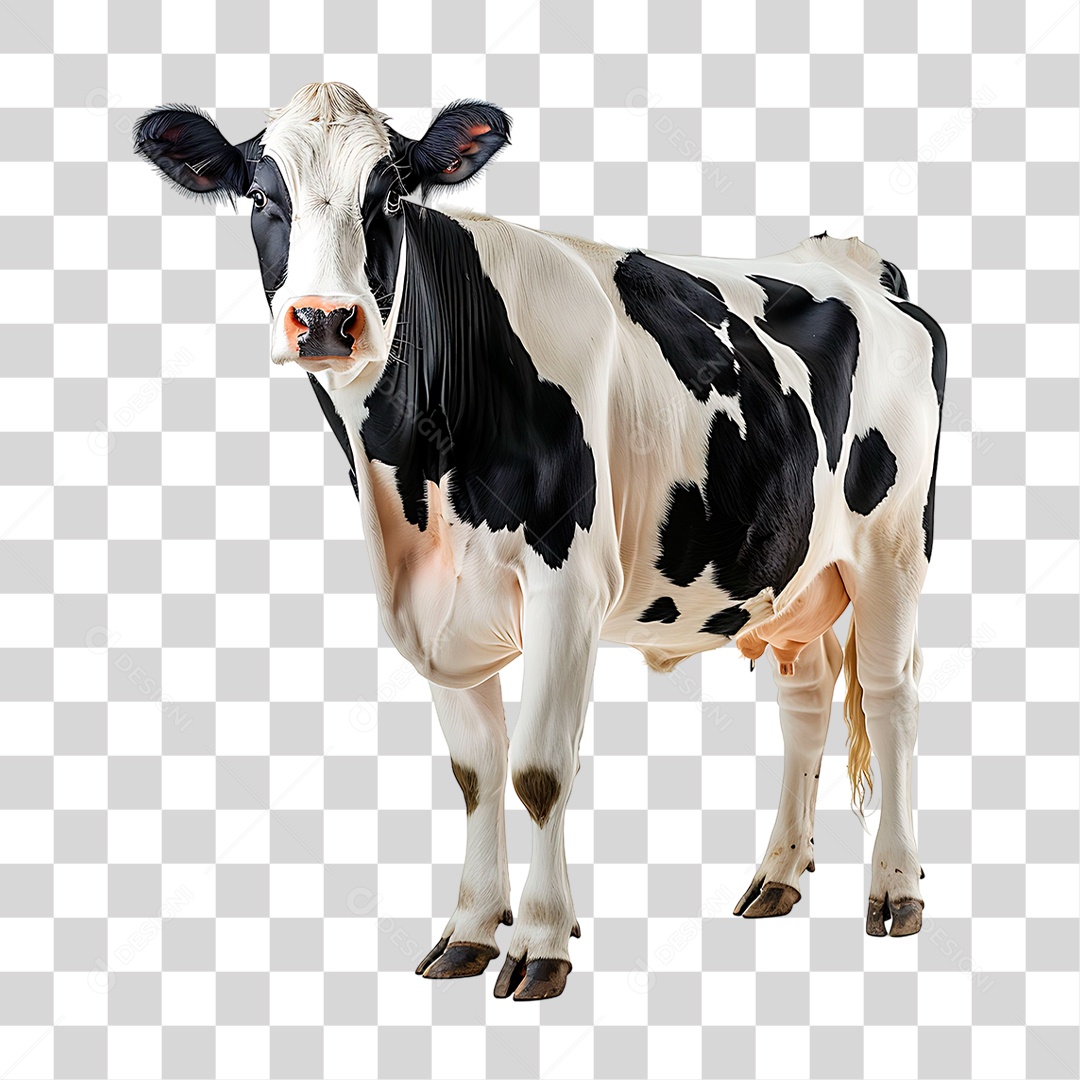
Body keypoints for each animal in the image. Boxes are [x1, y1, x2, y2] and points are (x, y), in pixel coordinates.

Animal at [135, 82, 946, 1000]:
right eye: (261, 197)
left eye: (389, 197)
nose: (326, 320)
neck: (414, 479)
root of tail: (851, 258)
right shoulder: (432, 603)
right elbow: (476, 773)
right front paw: (470, 930)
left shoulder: (570, 586)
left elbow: (537, 770)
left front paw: (541, 942)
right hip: (791, 570)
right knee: (806, 698)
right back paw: (777, 875)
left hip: (892, 550)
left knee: (890, 699)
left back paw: (895, 890)